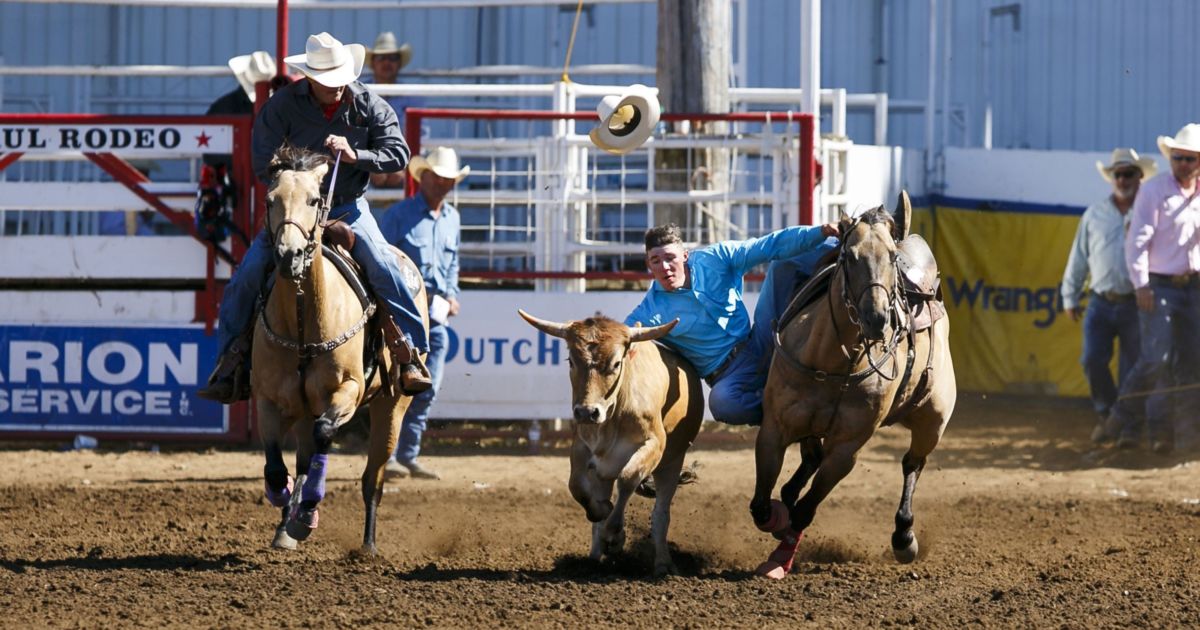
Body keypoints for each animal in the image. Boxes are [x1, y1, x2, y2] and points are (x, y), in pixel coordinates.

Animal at [249, 142, 427, 549]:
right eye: (270, 200)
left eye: (315, 200)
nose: (289, 255)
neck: (304, 321)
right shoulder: (267, 397)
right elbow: (274, 464)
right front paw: (287, 506)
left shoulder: (348, 389)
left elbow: (326, 434)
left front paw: (307, 513)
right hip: (303, 407)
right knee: (302, 457)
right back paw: (287, 524)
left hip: (393, 406)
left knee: (372, 478)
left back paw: (367, 545)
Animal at [748, 193, 955, 580]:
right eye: (849, 256)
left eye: (892, 257)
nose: (876, 318)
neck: (831, 362)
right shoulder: (774, 428)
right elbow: (761, 505)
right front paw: (779, 520)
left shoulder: (847, 449)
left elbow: (806, 510)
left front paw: (780, 558)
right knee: (809, 461)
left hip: (933, 420)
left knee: (912, 463)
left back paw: (904, 537)